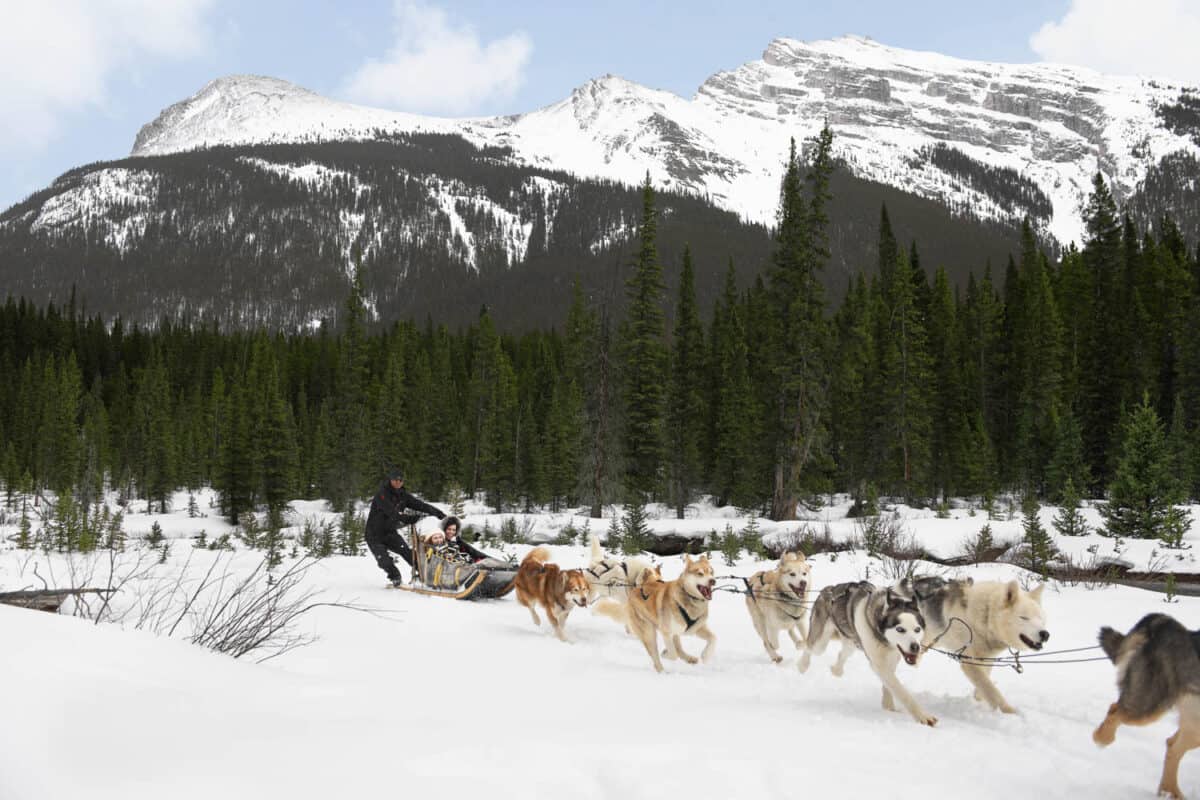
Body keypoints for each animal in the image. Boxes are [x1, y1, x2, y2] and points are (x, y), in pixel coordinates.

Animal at [796, 582, 936, 724]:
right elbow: (900, 690)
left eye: (917, 629)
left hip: (851, 642)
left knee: (842, 654)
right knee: (809, 647)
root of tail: (829, 588)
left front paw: (888, 706)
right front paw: (923, 716)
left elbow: (889, 685)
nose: (915, 647)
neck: (884, 640)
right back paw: (802, 665)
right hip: (820, 644)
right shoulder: (878, 664)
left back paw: (837, 670)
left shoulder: (891, 659)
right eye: (900, 629)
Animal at [912, 575, 1046, 714]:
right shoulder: (969, 662)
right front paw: (1010, 712)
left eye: (1041, 619)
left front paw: (978, 698)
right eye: (1024, 617)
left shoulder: (987, 658)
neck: (986, 618)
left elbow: (984, 683)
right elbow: (990, 689)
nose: (1045, 634)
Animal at [1094, 618, 1200, 796]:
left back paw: (1170, 792)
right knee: (1115, 710)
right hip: (1148, 705)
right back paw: (1102, 738)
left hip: (1193, 725)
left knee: (1172, 746)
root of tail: (1164, 624)